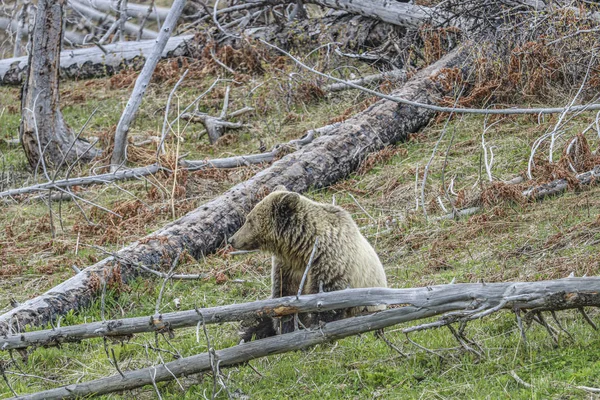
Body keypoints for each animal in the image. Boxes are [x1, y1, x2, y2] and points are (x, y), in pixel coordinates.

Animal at [227, 188, 386, 340]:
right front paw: (287, 328)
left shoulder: (328, 260)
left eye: (249, 220)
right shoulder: (288, 267)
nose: (231, 239)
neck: (303, 248)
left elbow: (326, 301)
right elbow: (284, 296)